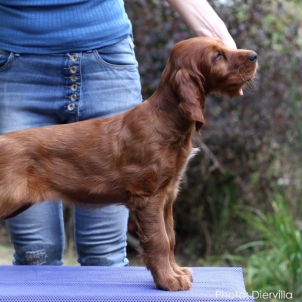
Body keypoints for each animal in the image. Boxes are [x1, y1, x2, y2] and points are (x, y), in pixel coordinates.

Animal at [0, 37, 258, 290]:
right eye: (217, 55)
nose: (254, 55)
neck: (167, 119)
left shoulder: (168, 194)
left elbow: (170, 236)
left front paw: (176, 272)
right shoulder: (148, 196)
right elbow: (159, 240)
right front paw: (169, 281)